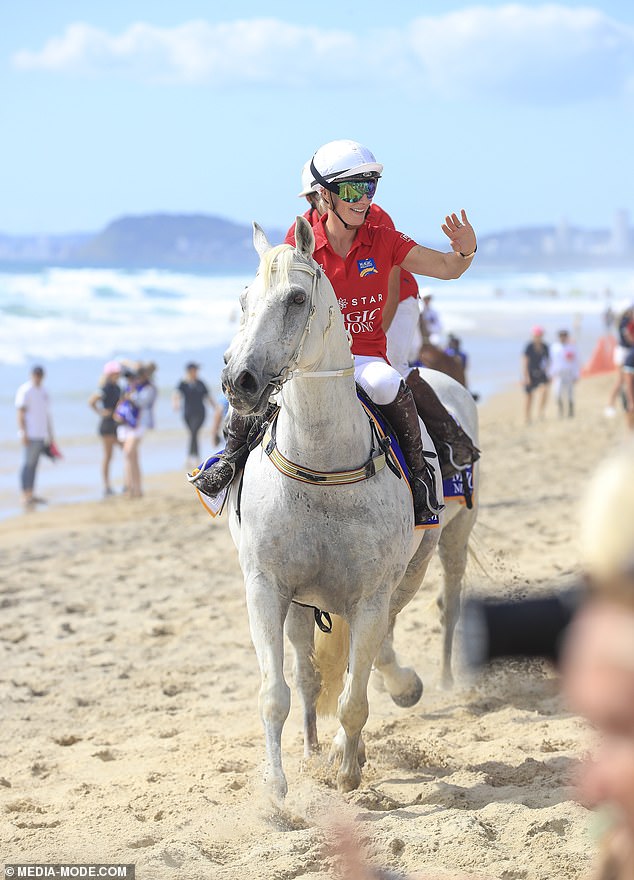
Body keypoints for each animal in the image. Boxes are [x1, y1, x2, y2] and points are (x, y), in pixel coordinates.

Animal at [220, 218, 476, 796]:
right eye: (244, 299)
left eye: (296, 298)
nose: (239, 380)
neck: (320, 466)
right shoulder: (266, 586)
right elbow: (277, 693)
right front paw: (276, 794)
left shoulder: (371, 592)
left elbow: (356, 697)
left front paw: (347, 763)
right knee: (314, 668)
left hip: (443, 543)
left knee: (439, 607)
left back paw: (435, 683)